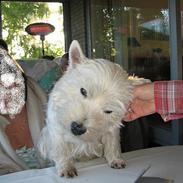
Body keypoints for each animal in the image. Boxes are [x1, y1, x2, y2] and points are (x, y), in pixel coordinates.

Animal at [38, 40, 149, 177]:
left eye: (108, 111)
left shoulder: (112, 129)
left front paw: (116, 160)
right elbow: (61, 149)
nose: (77, 128)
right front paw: (66, 167)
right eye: (83, 91)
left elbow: (113, 144)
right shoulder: (56, 128)